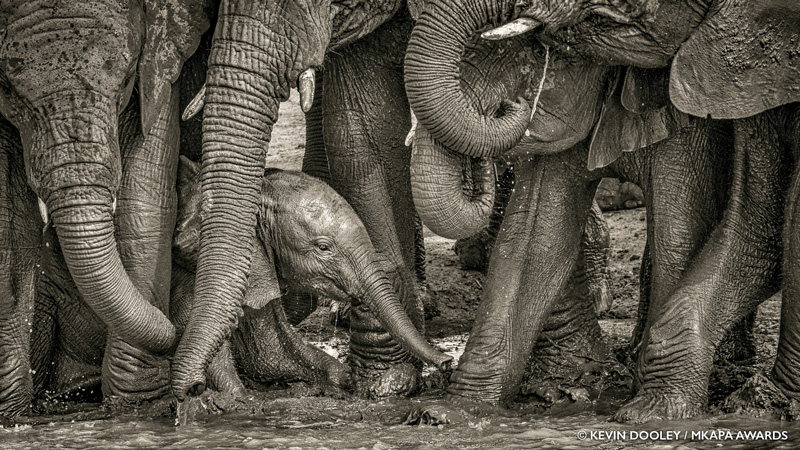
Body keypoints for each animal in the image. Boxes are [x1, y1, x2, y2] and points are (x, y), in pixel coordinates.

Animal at [0, 0, 214, 416]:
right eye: (9, 92)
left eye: (128, 76)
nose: (194, 386)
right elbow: (7, 220)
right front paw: (11, 414)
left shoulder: (158, 66)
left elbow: (145, 190)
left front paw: (139, 408)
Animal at [406, 0, 800, 422]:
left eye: (533, 56)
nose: (511, 107)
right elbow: (535, 239)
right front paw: (451, 412)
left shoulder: (684, 115)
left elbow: (678, 230)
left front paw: (651, 408)